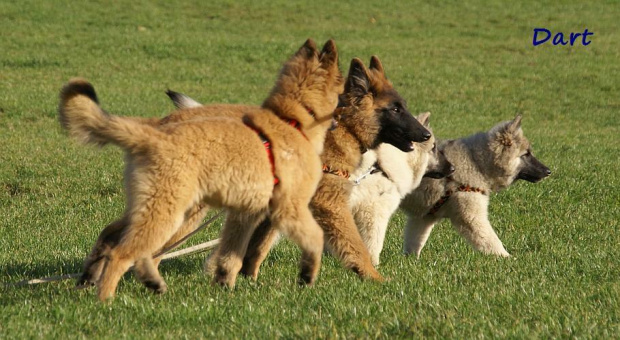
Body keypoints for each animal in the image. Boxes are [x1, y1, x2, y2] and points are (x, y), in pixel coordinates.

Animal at [59, 39, 344, 300]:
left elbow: (231, 256)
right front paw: (308, 274)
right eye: (341, 93)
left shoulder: (244, 214)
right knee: (123, 253)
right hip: (171, 212)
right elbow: (315, 237)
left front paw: (224, 287)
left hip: (157, 207)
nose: (341, 117)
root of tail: (153, 132)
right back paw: (106, 299)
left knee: (114, 236)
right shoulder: (290, 208)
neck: (290, 120)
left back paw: (103, 278)